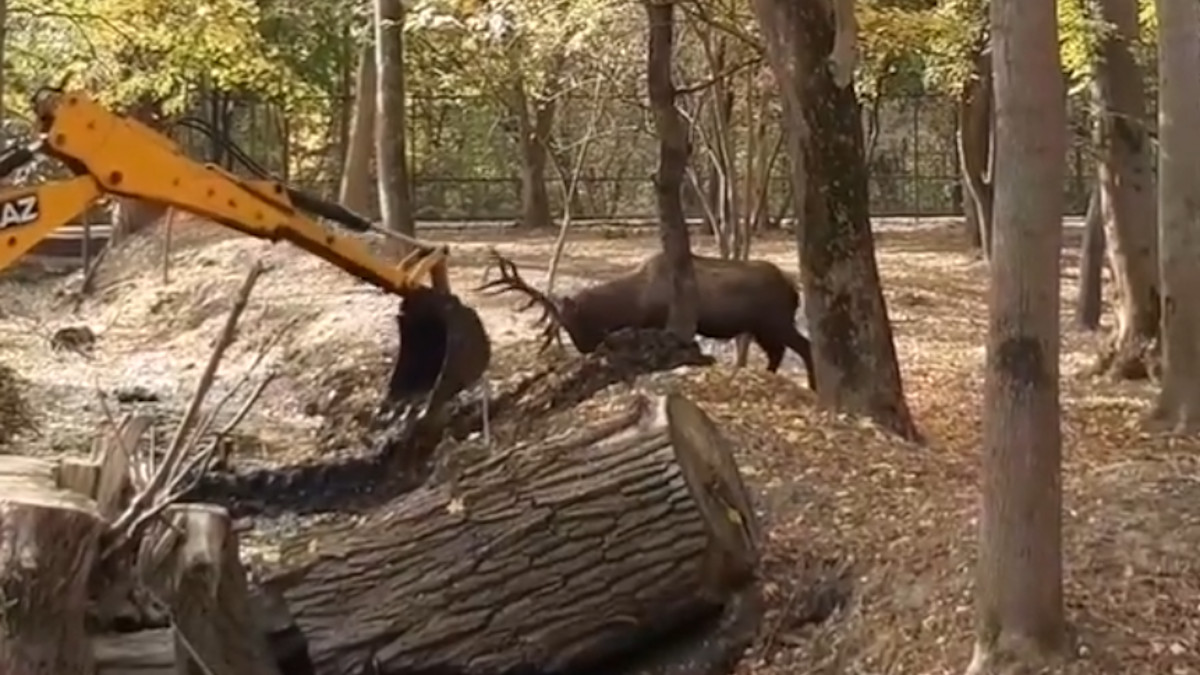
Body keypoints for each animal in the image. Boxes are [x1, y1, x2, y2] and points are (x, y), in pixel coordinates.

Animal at [478, 249, 816, 391]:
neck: (633, 304)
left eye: (572, 319)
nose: (585, 347)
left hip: (776, 321)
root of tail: (794, 289)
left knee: (804, 347)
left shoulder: (658, 323)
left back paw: (814, 386)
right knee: (778, 353)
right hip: (762, 327)